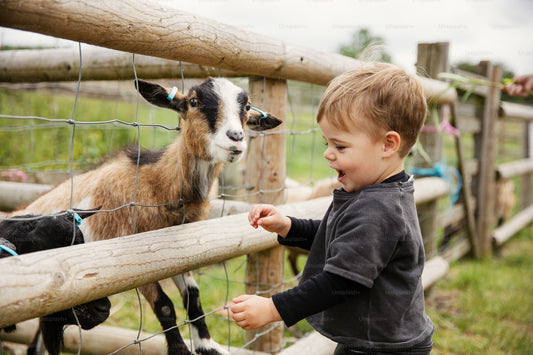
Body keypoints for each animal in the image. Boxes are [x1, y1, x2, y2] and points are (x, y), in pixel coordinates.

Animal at [15, 78, 282, 355]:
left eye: (247, 106)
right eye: (193, 101)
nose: (236, 138)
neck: (156, 183)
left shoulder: (176, 255)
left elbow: (193, 296)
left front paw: (208, 346)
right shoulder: (135, 259)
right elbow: (164, 305)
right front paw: (181, 350)